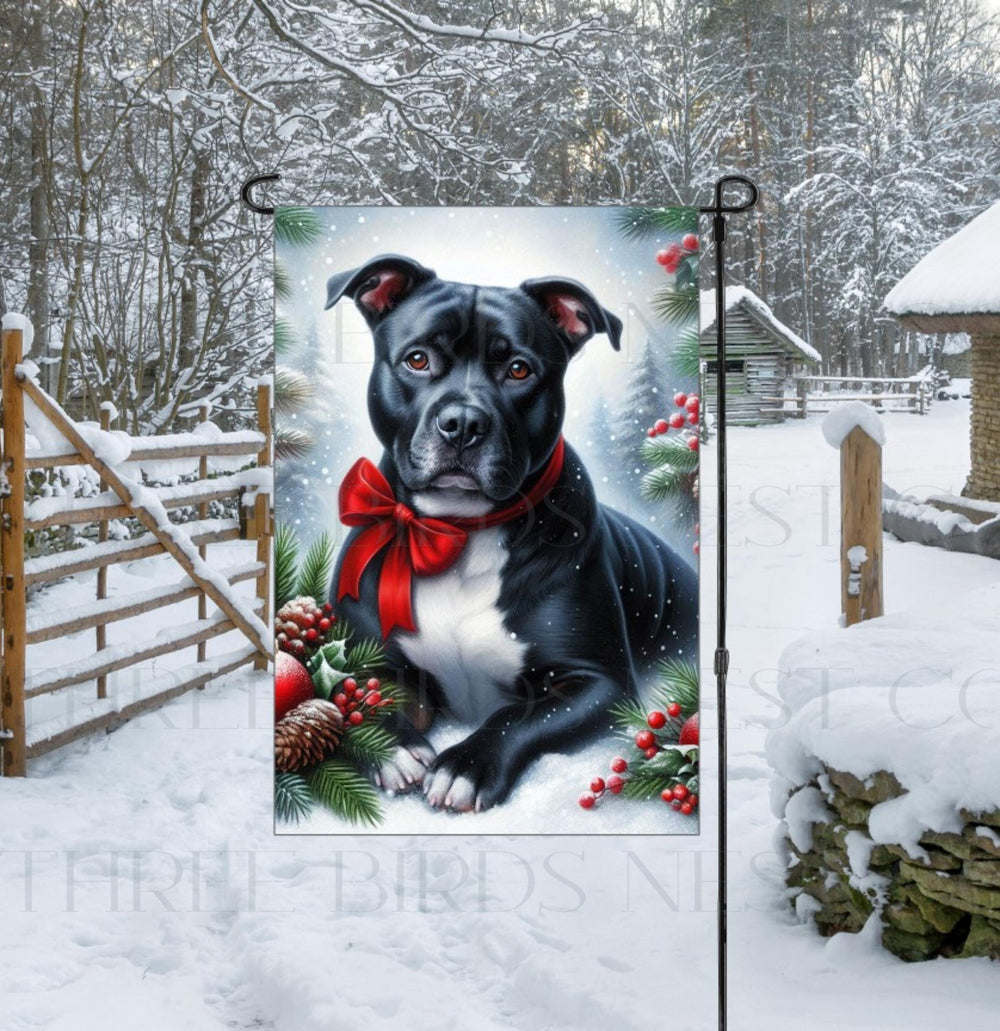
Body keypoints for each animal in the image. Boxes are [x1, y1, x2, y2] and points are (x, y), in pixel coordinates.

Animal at [325, 253, 692, 808]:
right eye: (417, 360)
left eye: (519, 369)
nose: (462, 422)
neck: (456, 531)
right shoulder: (367, 654)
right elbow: (365, 688)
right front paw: (391, 745)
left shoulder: (598, 683)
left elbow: (518, 715)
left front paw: (466, 765)